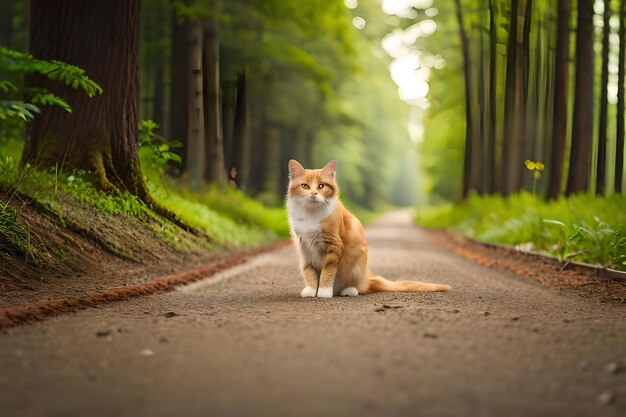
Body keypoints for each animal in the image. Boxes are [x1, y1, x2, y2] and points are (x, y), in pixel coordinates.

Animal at [286, 158, 450, 298]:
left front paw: (324, 292)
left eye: (321, 186)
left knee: (359, 287)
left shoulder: (333, 245)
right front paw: (313, 290)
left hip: (355, 264)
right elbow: (309, 271)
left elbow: (327, 270)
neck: (311, 214)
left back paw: (348, 290)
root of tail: (368, 278)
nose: (313, 193)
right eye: (305, 186)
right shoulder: (304, 247)